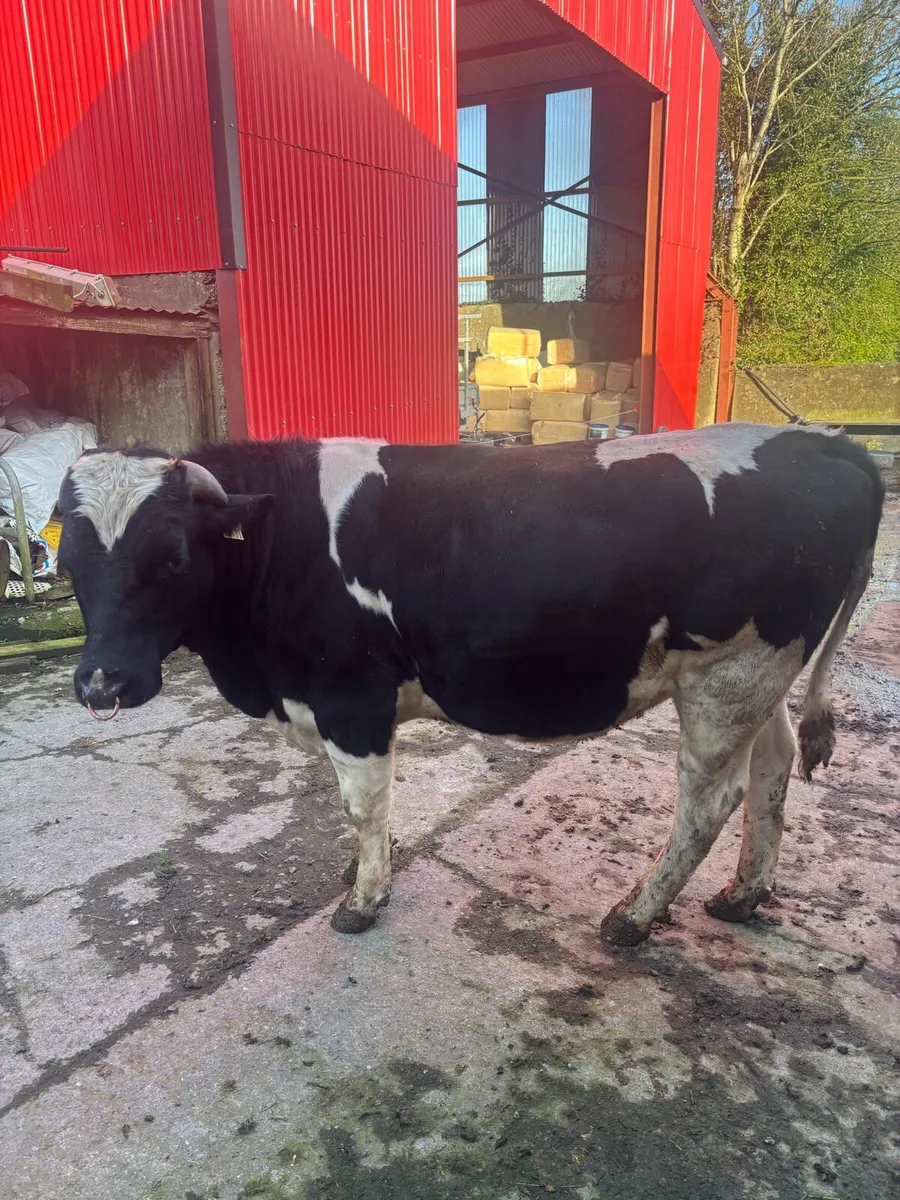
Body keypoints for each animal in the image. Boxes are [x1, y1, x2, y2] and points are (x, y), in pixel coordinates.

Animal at [56, 423, 884, 946]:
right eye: (68, 566)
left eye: (170, 559)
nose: (100, 683)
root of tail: (823, 440)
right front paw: (361, 872)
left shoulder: (352, 697)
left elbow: (362, 805)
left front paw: (364, 898)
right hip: (761, 675)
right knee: (774, 765)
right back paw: (742, 895)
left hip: (726, 676)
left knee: (711, 801)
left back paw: (635, 916)